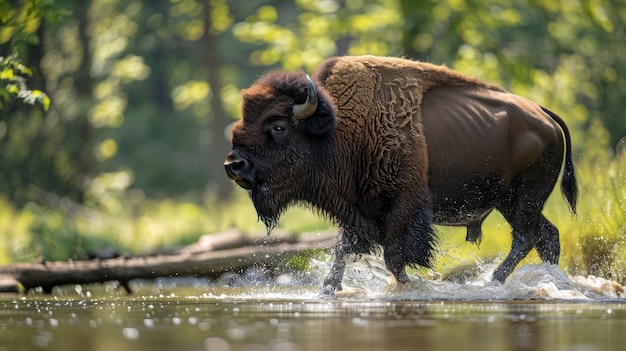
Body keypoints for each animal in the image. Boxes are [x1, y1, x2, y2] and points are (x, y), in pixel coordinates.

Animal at [223, 56, 576, 296]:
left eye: (278, 126)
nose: (233, 164)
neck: (342, 131)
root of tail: (544, 114)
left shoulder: (403, 205)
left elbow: (394, 257)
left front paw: (408, 286)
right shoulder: (357, 210)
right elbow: (342, 251)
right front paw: (328, 290)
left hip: (527, 194)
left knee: (525, 238)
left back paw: (494, 281)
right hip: (510, 200)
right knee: (547, 236)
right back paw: (551, 280)